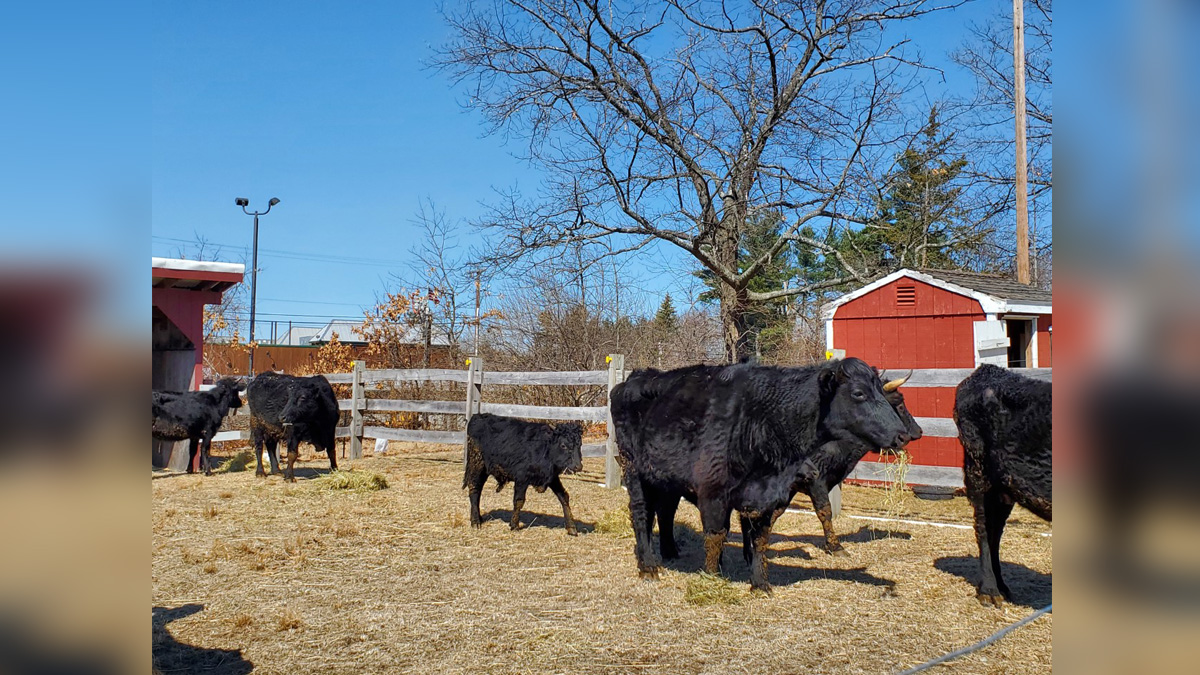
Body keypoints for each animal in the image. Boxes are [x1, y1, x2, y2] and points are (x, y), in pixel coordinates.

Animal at [612, 357, 913, 592]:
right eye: (859, 393)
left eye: (882, 393)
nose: (903, 435)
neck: (763, 419)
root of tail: (634, 379)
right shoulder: (713, 492)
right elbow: (716, 535)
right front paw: (712, 578)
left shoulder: (768, 497)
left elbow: (760, 538)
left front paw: (760, 584)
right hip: (634, 470)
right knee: (641, 514)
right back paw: (649, 566)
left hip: (666, 479)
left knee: (665, 511)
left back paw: (668, 552)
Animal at [954, 364, 1052, 607]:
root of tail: (985, 369)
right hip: (978, 469)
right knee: (983, 527)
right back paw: (989, 590)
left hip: (1003, 488)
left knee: (995, 530)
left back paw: (1002, 587)